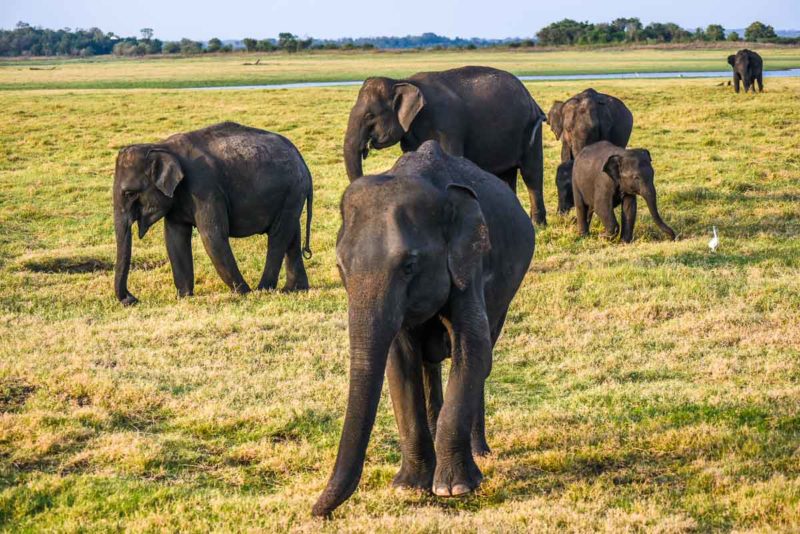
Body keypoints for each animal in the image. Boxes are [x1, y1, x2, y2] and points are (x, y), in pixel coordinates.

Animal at [113, 122, 312, 306]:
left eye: (129, 193)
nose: (132, 299)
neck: (161, 146)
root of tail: (303, 162)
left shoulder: (205, 188)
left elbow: (213, 236)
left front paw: (244, 293)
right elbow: (174, 239)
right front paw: (184, 297)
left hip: (292, 191)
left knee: (278, 237)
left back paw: (263, 289)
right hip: (292, 195)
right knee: (292, 233)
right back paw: (294, 289)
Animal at [310, 141, 532, 520]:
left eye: (409, 266)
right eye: (340, 267)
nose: (316, 512)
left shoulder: (470, 264)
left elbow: (472, 347)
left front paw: (454, 488)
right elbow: (399, 362)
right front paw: (410, 486)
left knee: (485, 356)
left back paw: (480, 452)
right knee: (430, 365)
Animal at [344, 65, 552, 226]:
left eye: (370, 116)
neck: (403, 81)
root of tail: (532, 100)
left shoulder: (446, 125)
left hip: (529, 130)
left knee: (531, 173)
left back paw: (538, 225)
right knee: (506, 176)